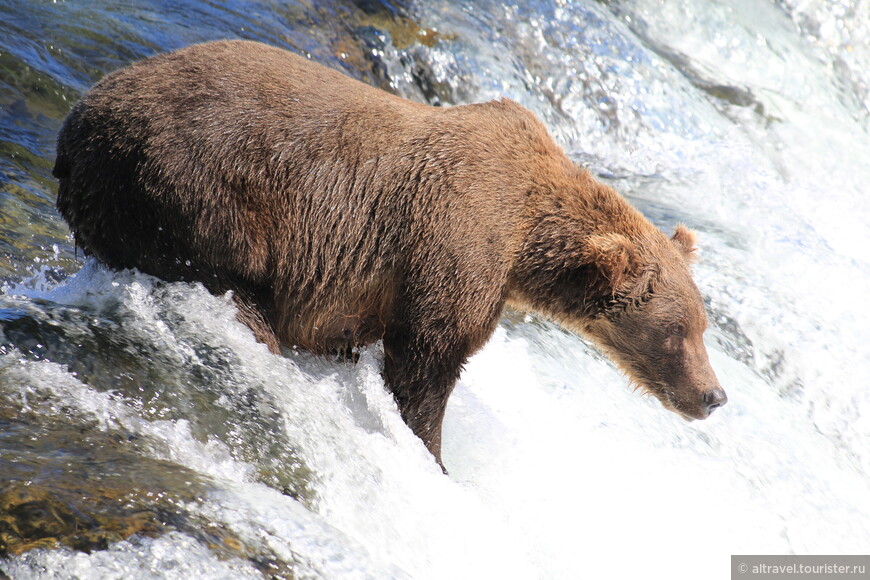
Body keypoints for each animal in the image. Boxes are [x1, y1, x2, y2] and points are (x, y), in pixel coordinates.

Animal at [51, 39, 724, 466]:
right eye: (676, 332)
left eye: (701, 326)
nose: (714, 396)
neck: (527, 244)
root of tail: (78, 118)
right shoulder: (455, 243)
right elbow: (426, 363)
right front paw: (433, 457)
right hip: (191, 193)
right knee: (233, 288)